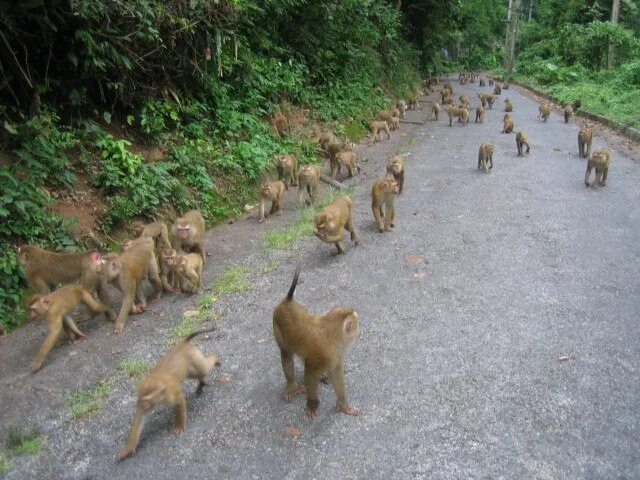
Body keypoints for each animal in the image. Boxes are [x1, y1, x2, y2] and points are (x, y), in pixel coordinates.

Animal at [116, 328, 221, 460]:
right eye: (143, 400)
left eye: (148, 400)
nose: (144, 405)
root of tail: (182, 343)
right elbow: (140, 417)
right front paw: (129, 448)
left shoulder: (169, 395)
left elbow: (180, 400)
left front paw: (179, 424)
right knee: (197, 373)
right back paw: (201, 382)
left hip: (194, 357)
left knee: (203, 369)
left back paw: (216, 360)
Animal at [272, 264, 360, 418]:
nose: (359, 327)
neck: (332, 334)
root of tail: (286, 302)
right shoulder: (324, 353)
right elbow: (309, 372)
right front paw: (312, 404)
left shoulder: (335, 355)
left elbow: (335, 372)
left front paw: (343, 405)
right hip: (276, 326)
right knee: (286, 353)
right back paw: (292, 385)